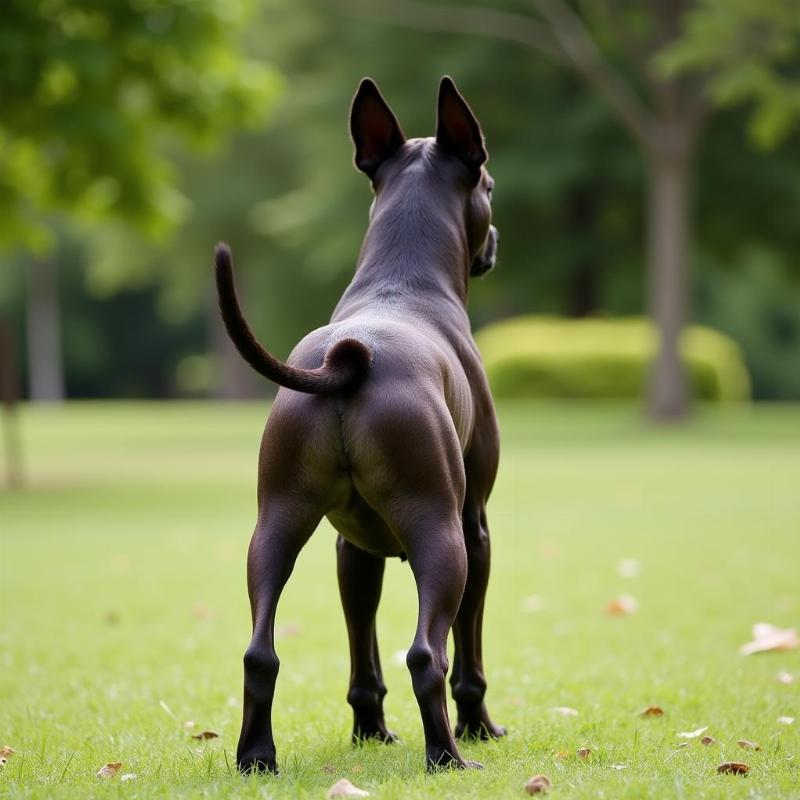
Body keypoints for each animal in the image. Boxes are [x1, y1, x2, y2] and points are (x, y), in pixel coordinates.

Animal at [216, 76, 504, 776]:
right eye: (489, 184)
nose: (496, 241)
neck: (402, 281)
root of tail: (348, 363)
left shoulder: (354, 546)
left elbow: (361, 651)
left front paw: (370, 730)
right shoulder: (477, 526)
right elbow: (470, 653)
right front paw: (481, 726)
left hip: (276, 521)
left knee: (259, 651)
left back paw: (257, 755)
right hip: (441, 535)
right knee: (428, 653)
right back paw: (449, 756)